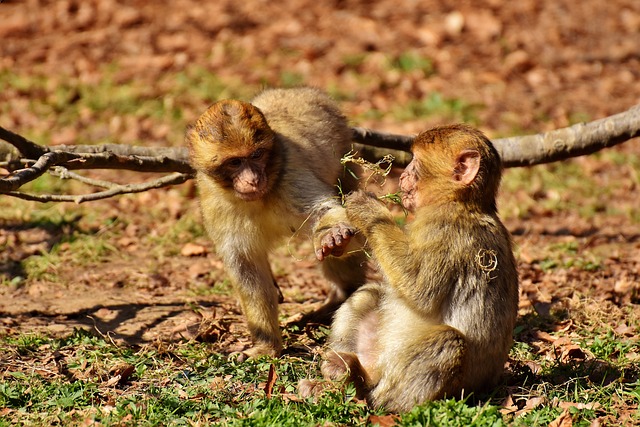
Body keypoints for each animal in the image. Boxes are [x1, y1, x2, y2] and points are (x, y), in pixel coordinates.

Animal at [186, 88, 364, 358]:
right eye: (235, 162)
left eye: (256, 155)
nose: (252, 179)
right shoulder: (214, 203)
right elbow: (246, 268)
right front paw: (266, 346)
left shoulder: (291, 177)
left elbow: (327, 212)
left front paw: (333, 238)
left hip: (347, 159)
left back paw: (345, 294)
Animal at [320, 125, 520, 412]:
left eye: (414, 162)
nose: (402, 175)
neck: (458, 202)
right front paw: (336, 239)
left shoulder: (445, 231)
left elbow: (420, 290)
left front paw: (369, 210)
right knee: (370, 293)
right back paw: (340, 371)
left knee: (449, 341)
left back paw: (368, 392)